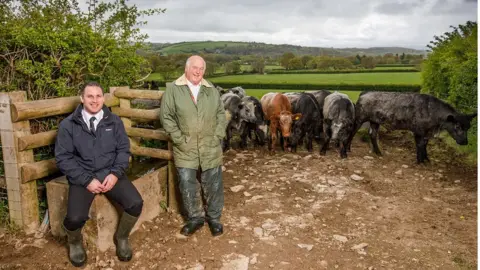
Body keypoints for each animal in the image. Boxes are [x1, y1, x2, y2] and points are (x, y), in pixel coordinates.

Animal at [348, 91, 476, 162]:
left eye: (468, 127)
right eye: (457, 126)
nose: (465, 142)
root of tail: (365, 93)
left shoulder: (427, 132)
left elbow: (425, 144)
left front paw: (426, 159)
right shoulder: (418, 130)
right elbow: (419, 145)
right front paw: (420, 161)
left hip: (375, 121)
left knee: (372, 135)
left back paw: (378, 153)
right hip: (360, 118)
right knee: (353, 131)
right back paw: (348, 149)